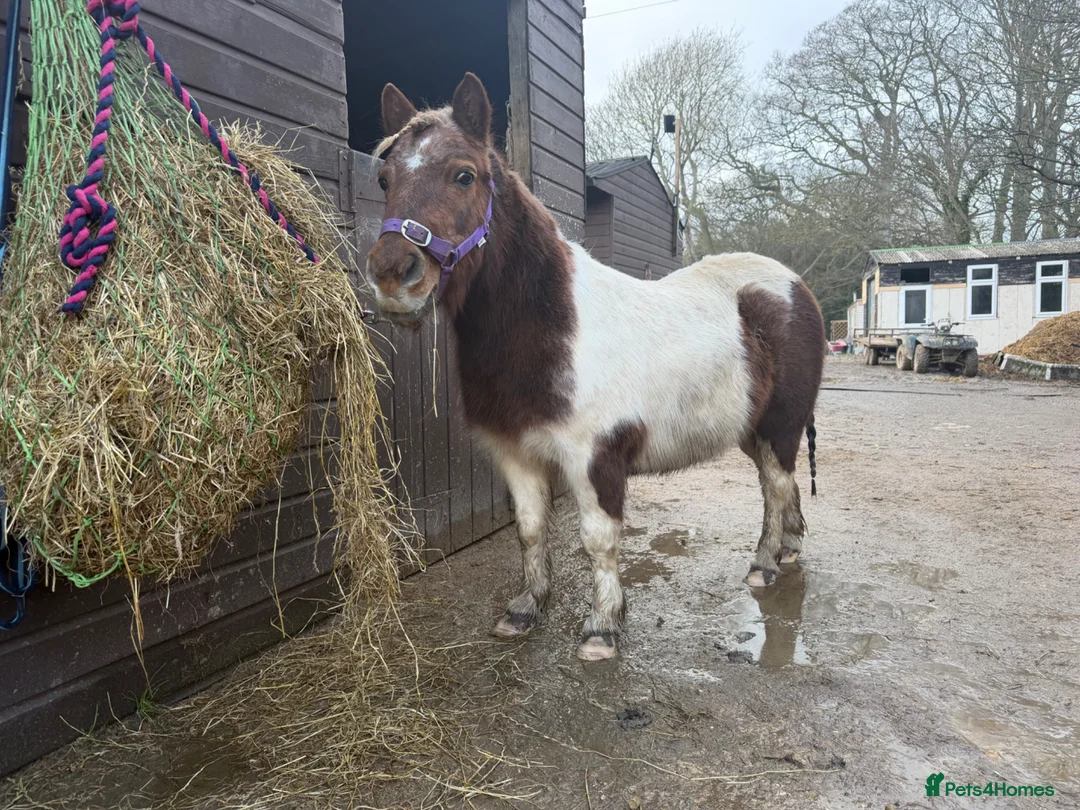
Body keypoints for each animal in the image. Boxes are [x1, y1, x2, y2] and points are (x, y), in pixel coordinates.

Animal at [365, 73, 825, 661]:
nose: (393, 277)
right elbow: (530, 530)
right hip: (752, 429)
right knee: (780, 487)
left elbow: (597, 540)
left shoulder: (593, 457)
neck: (551, 327)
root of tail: (795, 286)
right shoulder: (515, 453)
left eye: (464, 175)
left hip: (780, 425)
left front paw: (603, 629)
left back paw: (764, 565)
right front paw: (525, 609)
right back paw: (788, 550)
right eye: (385, 178)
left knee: (776, 487)